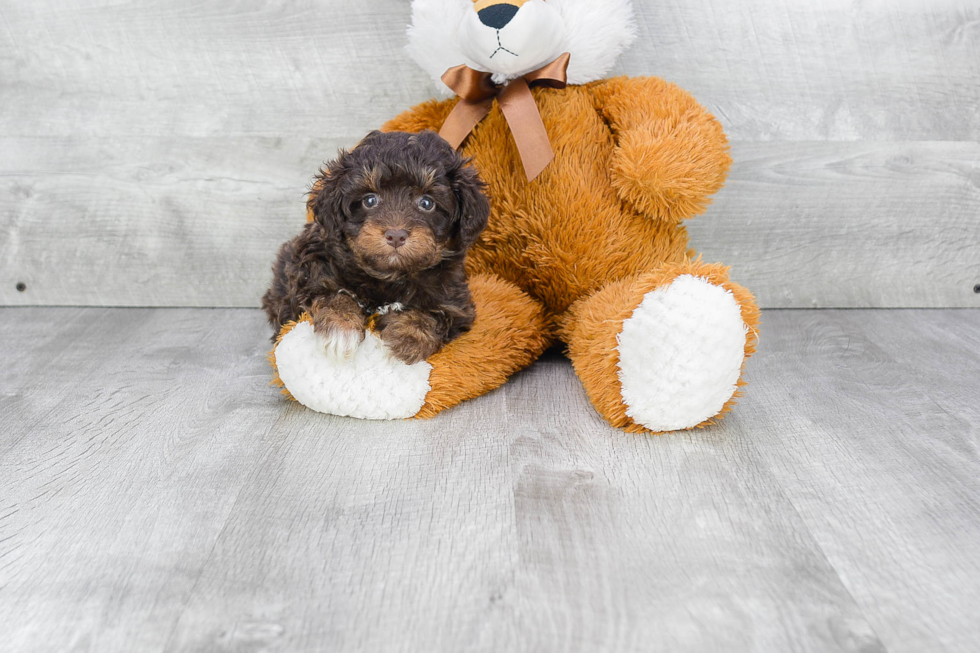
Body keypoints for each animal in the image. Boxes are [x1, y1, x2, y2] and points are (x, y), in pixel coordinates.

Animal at [260, 131, 490, 366]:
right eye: (370, 200)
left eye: (427, 203)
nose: (396, 235)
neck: (389, 276)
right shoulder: (309, 271)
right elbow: (332, 292)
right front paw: (341, 329)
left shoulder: (454, 302)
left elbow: (432, 315)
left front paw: (405, 341)